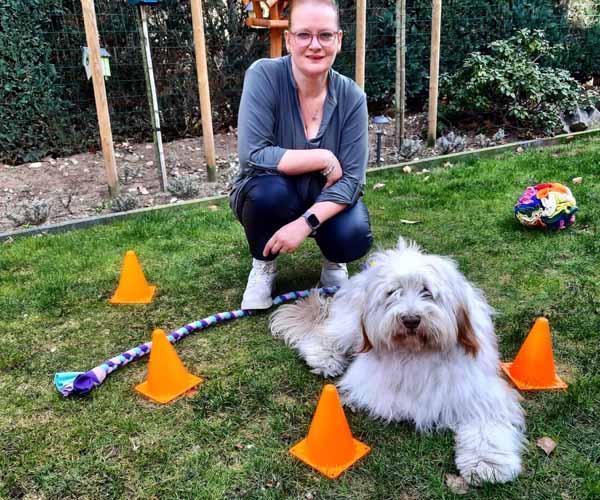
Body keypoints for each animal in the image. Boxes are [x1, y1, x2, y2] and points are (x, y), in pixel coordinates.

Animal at [270, 238, 525, 484]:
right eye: (393, 293)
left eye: (427, 291)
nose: (410, 319)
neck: (417, 353)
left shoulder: (480, 391)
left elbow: (487, 426)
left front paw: (488, 464)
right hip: (350, 325)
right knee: (328, 332)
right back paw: (324, 357)